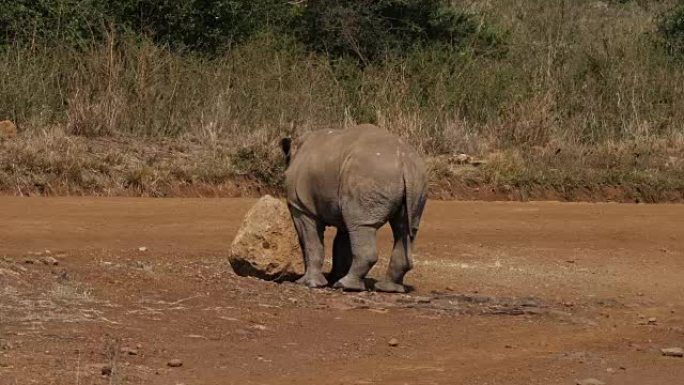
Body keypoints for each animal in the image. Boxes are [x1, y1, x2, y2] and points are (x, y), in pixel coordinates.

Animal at [280, 123, 424, 292]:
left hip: (369, 173)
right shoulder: (341, 206)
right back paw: (387, 288)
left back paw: (346, 285)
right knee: (404, 229)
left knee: (362, 226)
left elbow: (311, 242)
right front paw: (332, 278)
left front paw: (308, 283)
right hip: (415, 178)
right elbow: (341, 245)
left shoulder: (302, 208)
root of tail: (404, 162)